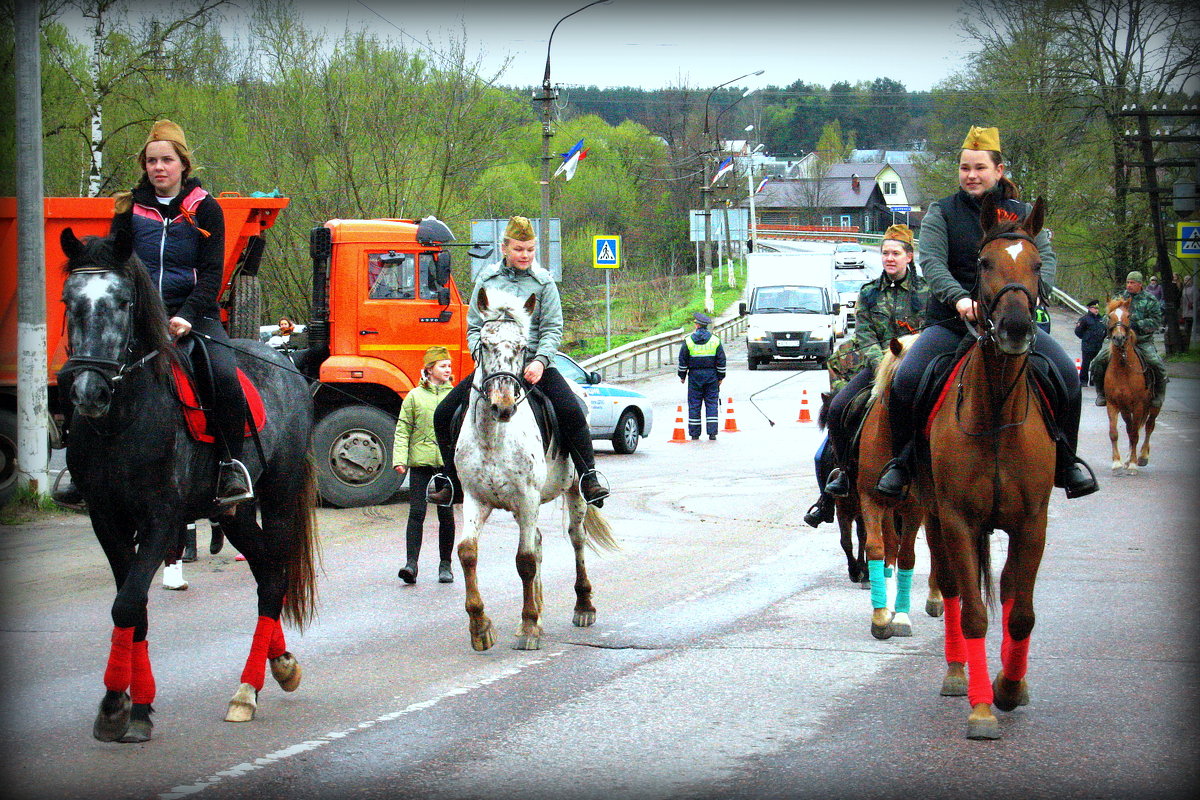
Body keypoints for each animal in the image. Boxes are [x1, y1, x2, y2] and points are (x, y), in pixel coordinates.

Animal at [57, 227, 319, 743]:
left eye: (122, 302)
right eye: (68, 300)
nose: (88, 392)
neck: (123, 420)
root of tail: (286, 364)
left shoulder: (162, 519)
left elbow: (127, 604)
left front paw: (119, 706)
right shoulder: (107, 521)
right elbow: (133, 608)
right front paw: (135, 704)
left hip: (278, 498)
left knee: (274, 578)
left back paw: (246, 691)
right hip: (233, 514)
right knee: (266, 574)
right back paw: (279, 664)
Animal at [859, 335, 940, 642]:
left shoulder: (914, 507)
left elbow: (907, 555)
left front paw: (902, 617)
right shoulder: (870, 499)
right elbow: (878, 549)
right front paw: (882, 617)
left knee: (936, 546)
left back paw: (936, 599)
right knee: (891, 546)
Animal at [912, 194, 1056, 738]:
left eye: (1036, 264)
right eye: (984, 263)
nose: (1016, 328)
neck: (995, 411)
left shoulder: (1032, 522)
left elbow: (1021, 614)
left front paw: (1009, 689)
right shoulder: (957, 519)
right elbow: (974, 613)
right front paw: (981, 708)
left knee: (1012, 592)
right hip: (932, 516)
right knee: (954, 589)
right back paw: (958, 675)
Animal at [1099, 299, 1156, 474]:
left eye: (1129, 316)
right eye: (1110, 316)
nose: (1118, 338)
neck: (1123, 368)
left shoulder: (1138, 406)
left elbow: (1136, 434)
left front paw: (1133, 464)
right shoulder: (1113, 404)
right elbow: (1114, 433)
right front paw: (1117, 463)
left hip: (1153, 407)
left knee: (1148, 427)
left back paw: (1142, 457)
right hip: (1125, 410)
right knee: (1131, 429)